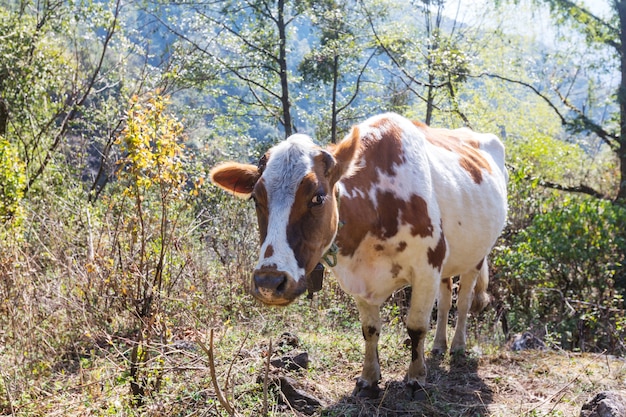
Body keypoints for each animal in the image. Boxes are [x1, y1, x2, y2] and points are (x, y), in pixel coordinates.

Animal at [210, 113, 508, 396]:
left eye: (318, 197)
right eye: (256, 198)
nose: (269, 282)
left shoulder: (427, 267)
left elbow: (416, 326)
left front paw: (416, 379)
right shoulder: (357, 278)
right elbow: (370, 330)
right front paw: (368, 379)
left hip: (476, 256)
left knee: (463, 302)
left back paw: (457, 346)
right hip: (449, 260)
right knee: (446, 300)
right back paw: (439, 345)